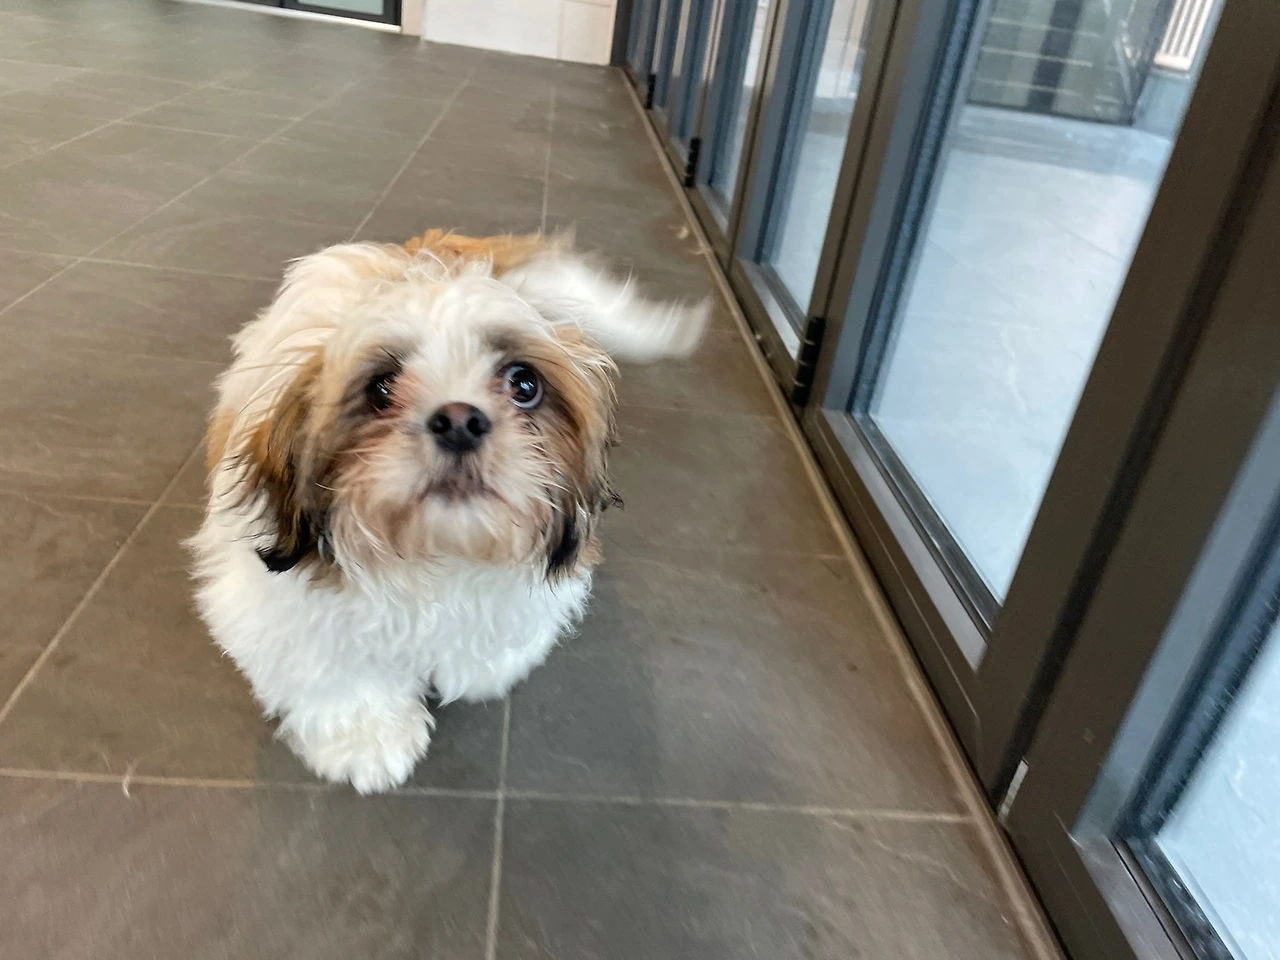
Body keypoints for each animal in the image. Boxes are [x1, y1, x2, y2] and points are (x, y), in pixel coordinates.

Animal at [190, 231, 708, 792]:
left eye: (524, 384)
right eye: (382, 388)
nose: (460, 420)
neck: (438, 556)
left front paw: (481, 669)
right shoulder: (278, 604)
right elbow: (334, 673)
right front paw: (367, 737)